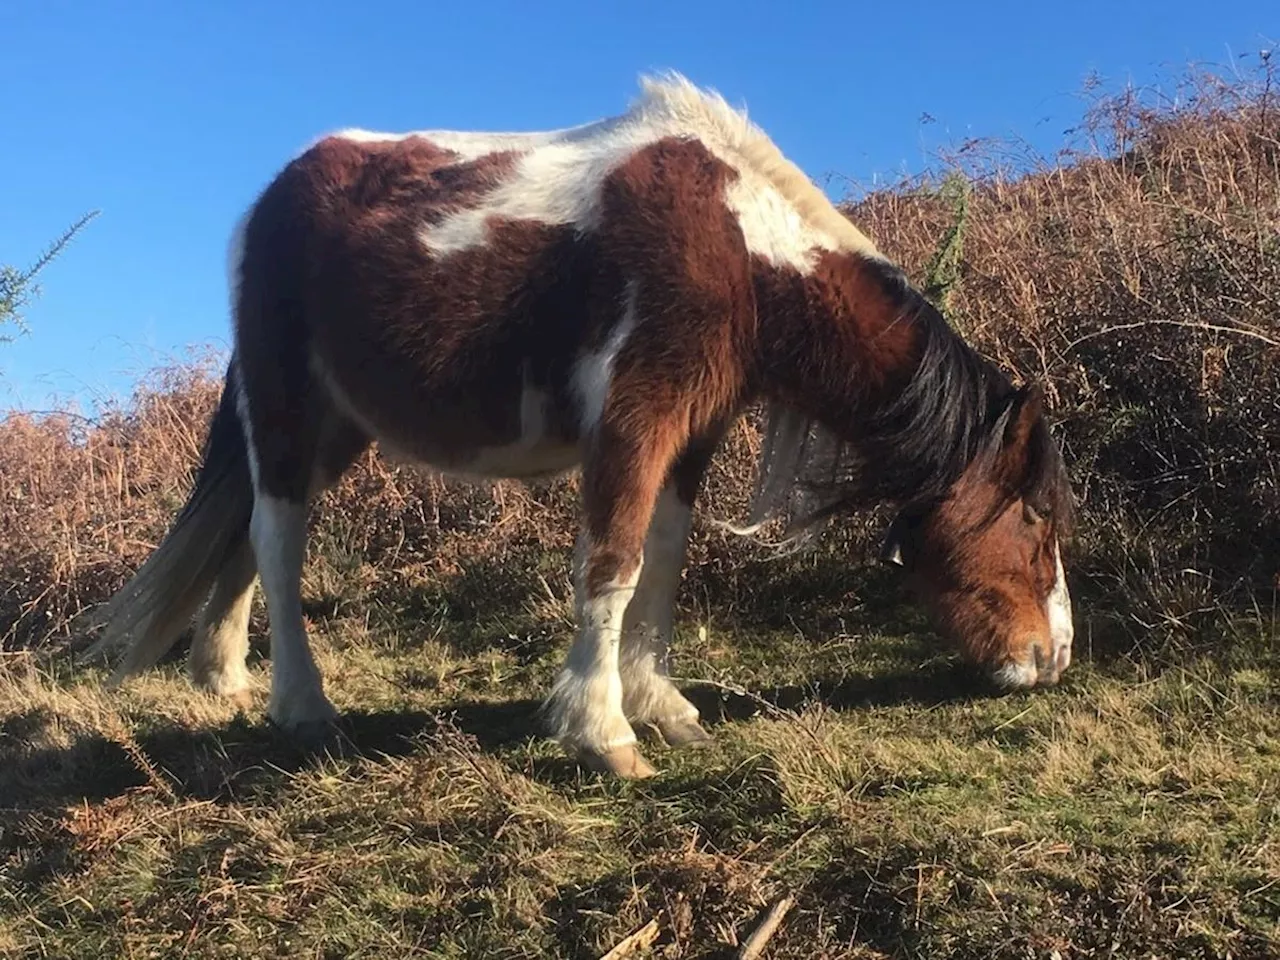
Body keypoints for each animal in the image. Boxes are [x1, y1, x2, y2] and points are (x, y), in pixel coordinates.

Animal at [85, 75, 1075, 783]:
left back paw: (223, 676)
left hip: (335, 429)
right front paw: (603, 734)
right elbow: (615, 564)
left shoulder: (692, 432)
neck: (738, 247)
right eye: (1035, 519)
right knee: (281, 542)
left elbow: (662, 565)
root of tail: (272, 198)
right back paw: (303, 707)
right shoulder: (635, 421)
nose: (1054, 658)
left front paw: (660, 705)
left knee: (249, 535)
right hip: (290, 409)